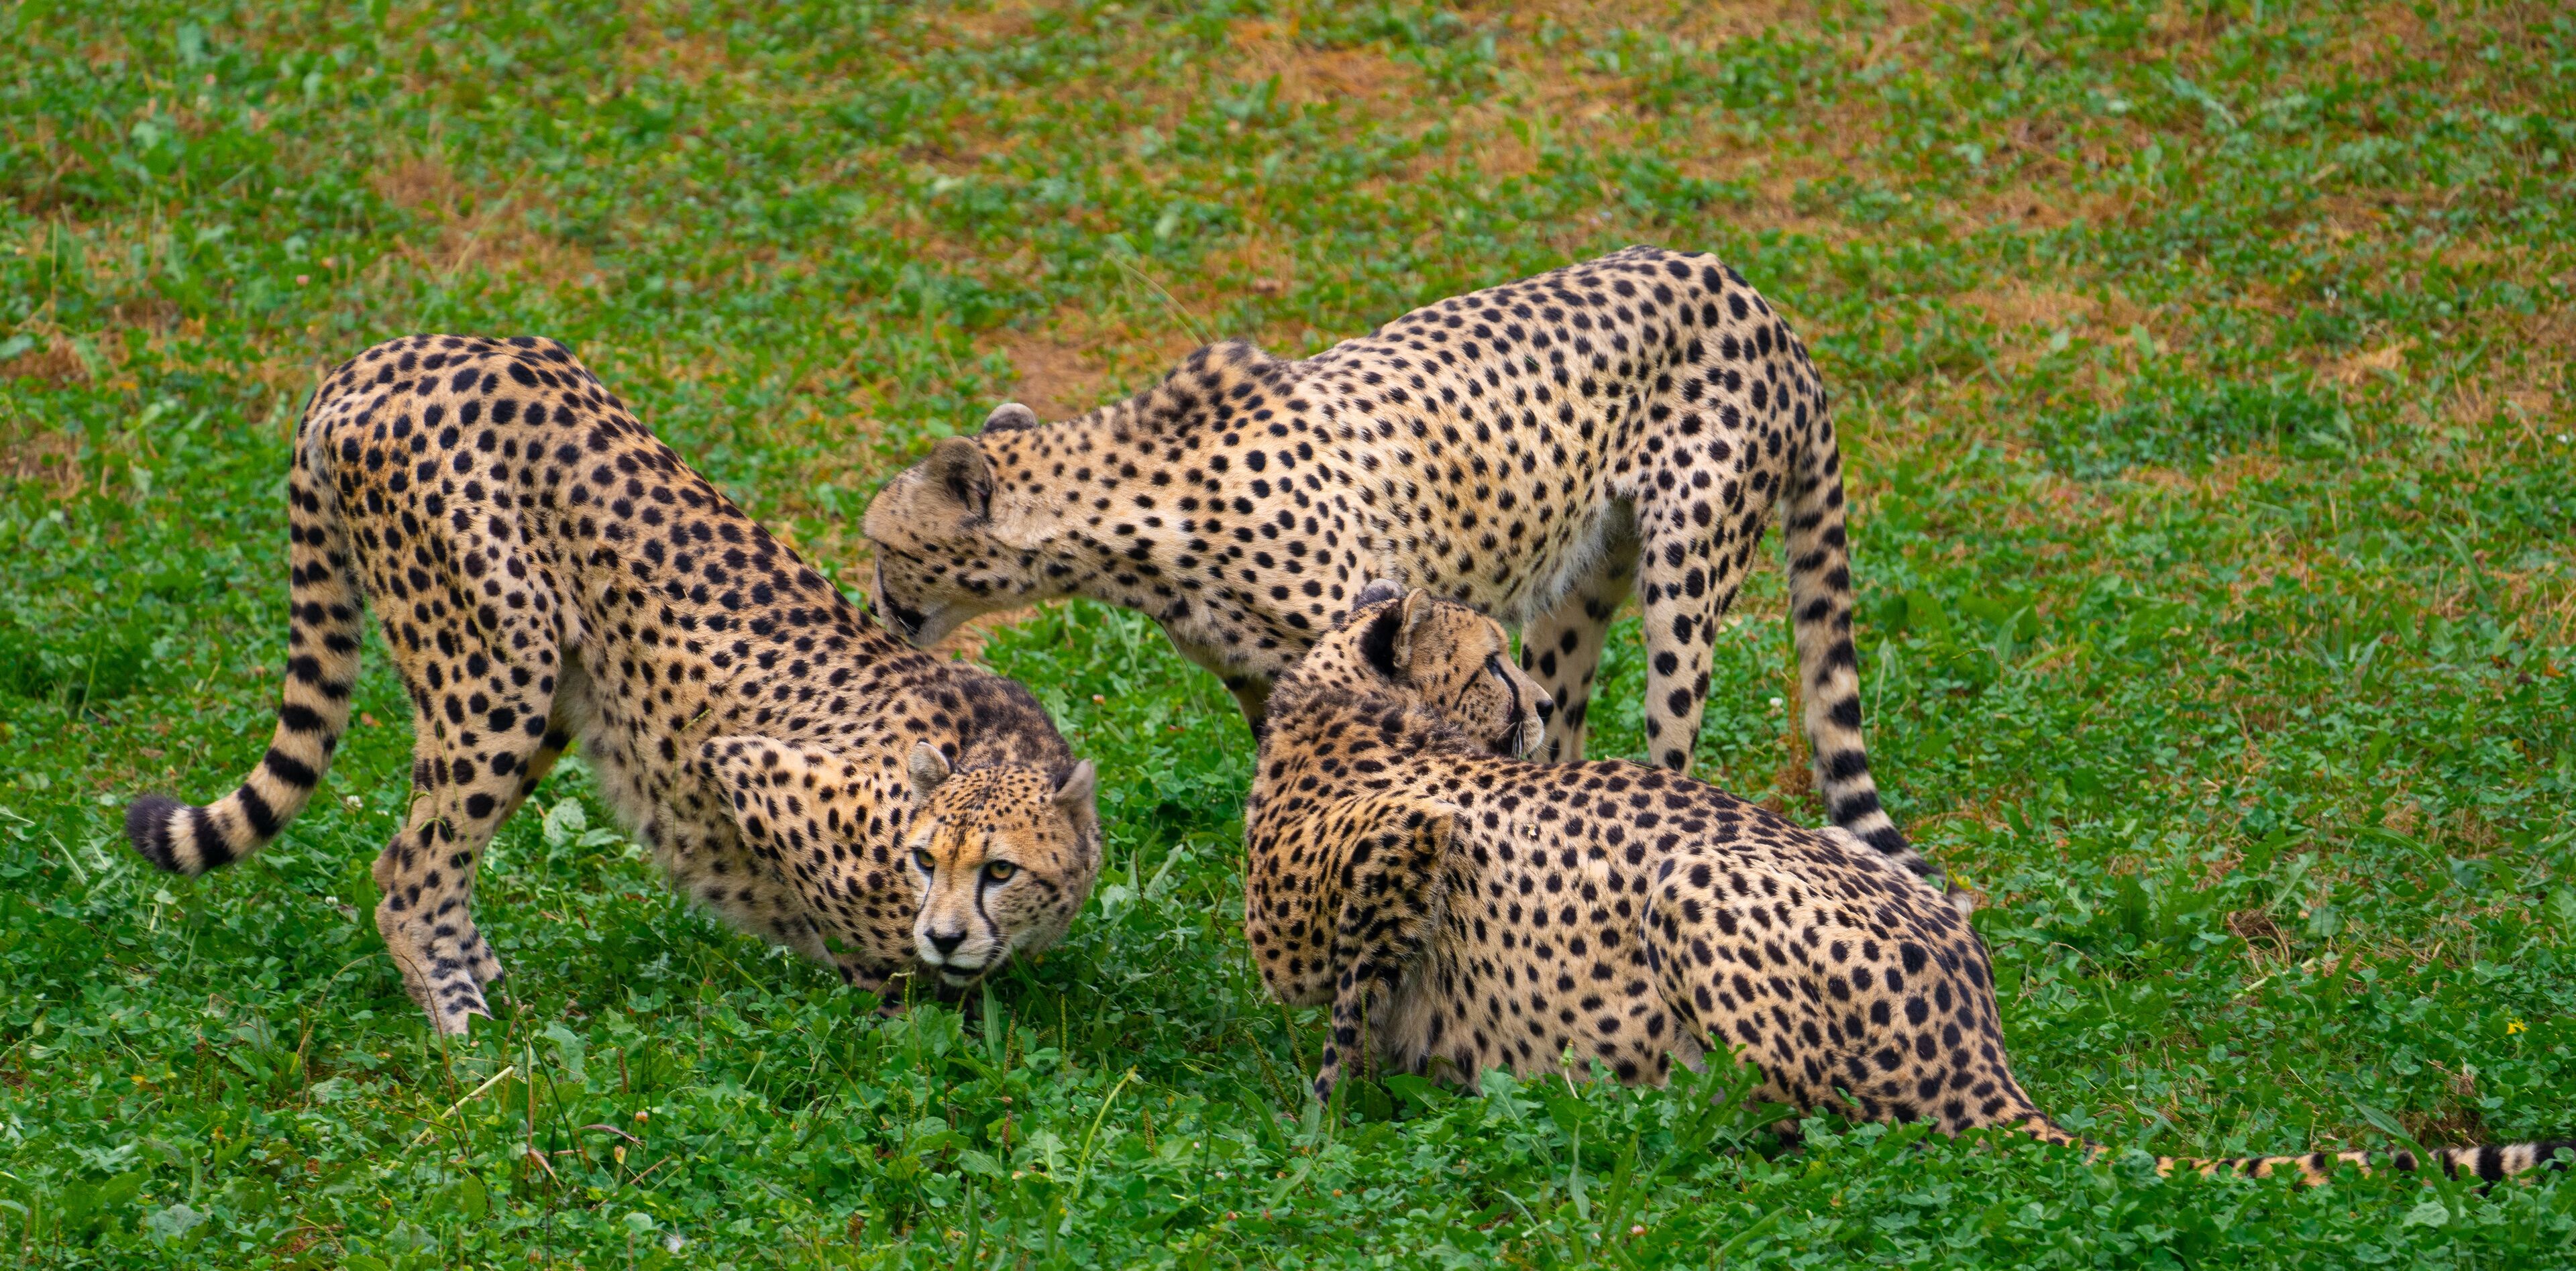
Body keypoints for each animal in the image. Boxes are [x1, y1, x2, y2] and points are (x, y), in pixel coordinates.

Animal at [123, 334, 1099, 1036]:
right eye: (927, 859)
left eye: (1000, 868)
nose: (946, 931)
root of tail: (397, 351)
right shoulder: (747, 768)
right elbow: (863, 950)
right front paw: (903, 1000)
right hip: (498, 661)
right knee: (408, 867)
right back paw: (466, 1025)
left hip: (551, 688)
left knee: (440, 859)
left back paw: (496, 985)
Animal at [863, 245, 1935, 892]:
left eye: (881, 542)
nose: (874, 601)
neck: (1133, 524)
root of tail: (1745, 290)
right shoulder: (1265, 680)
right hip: (1577, 587)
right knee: (1564, 728)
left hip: (1687, 577)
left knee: (1664, 742)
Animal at [1240, 584, 2574, 1186]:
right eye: (1488, 662)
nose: (1533, 699)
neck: (1343, 710)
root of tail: (1980, 1043)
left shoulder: (1392, 855)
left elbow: (1352, 991)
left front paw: (1322, 1122)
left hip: (1700, 882)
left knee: (1821, 1120)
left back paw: (1641, 1122)